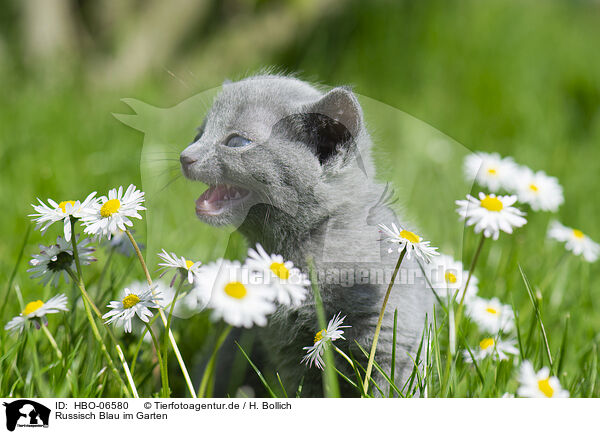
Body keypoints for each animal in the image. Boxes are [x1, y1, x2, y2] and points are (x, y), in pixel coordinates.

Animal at [180, 74, 434, 396]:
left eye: (237, 142)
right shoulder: (287, 349)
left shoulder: (392, 333)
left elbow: (390, 384)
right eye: (198, 134)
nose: (185, 156)